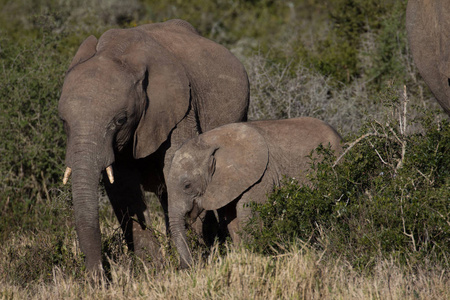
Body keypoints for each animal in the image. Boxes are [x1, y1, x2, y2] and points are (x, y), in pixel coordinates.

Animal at [57, 18, 250, 272]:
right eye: (63, 121)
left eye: (120, 120)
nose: (98, 276)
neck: (115, 51)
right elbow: (121, 185)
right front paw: (151, 269)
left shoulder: (182, 108)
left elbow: (177, 165)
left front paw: (193, 262)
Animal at [167, 116, 342, 268]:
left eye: (187, 186)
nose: (187, 267)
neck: (209, 142)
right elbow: (232, 218)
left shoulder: (262, 175)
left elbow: (247, 213)